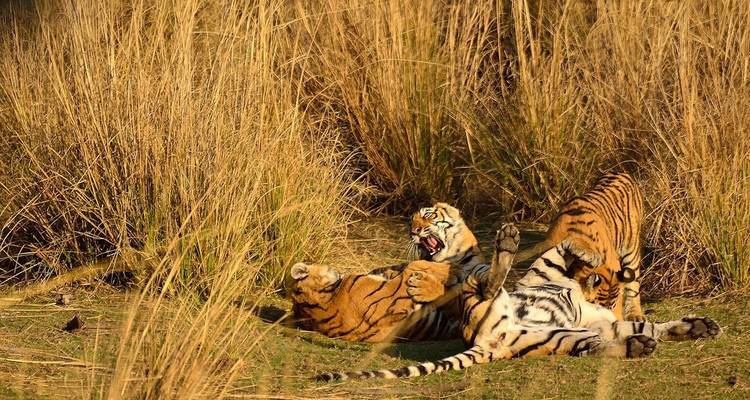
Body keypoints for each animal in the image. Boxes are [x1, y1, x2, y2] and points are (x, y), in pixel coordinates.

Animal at [317, 223, 720, 381]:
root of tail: (487, 343)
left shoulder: (603, 322)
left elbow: (648, 323)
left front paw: (698, 326)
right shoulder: (548, 267)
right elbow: (568, 247)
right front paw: (589, 259)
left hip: (561, 338)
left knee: (596, 347)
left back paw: (639, 346)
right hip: (486, 302)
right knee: (487, 283)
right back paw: (507, 243)